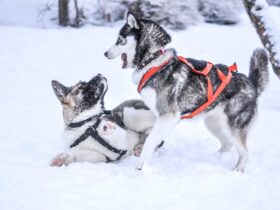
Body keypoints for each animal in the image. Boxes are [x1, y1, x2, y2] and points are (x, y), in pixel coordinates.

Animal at [104, 12, 270, 171]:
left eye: (120, 40)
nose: (105, 53)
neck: (153, 61)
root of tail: (252, 85)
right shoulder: (163, 118)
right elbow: (152, 139)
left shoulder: (168, 116)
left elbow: (149, 141)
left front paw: (140, 167)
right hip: (213, 124)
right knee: (226, 145)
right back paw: (212, 159)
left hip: (232, 127)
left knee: (245, 152)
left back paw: (237, 170)